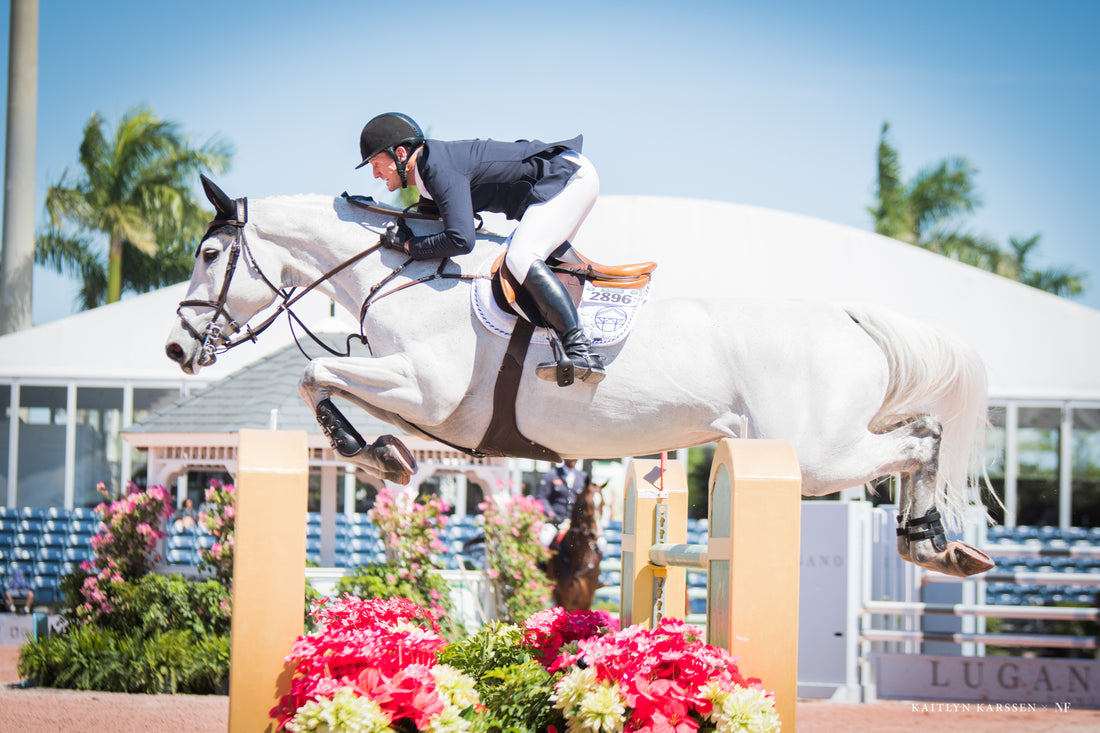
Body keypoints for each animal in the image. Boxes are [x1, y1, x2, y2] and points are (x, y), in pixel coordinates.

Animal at [167, 178, 1003, 576]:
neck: (404, 275)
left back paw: (931, 541)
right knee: (918, 435)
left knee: (923, 440)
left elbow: (315, 372)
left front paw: (369, 454)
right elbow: (326, 380)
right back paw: (935, 544)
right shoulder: (426, 407)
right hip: (825, 440)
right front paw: (380, 452)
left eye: (209, 255)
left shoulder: (426, 390)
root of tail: (849, 316)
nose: (177, 351)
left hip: (814, 453)